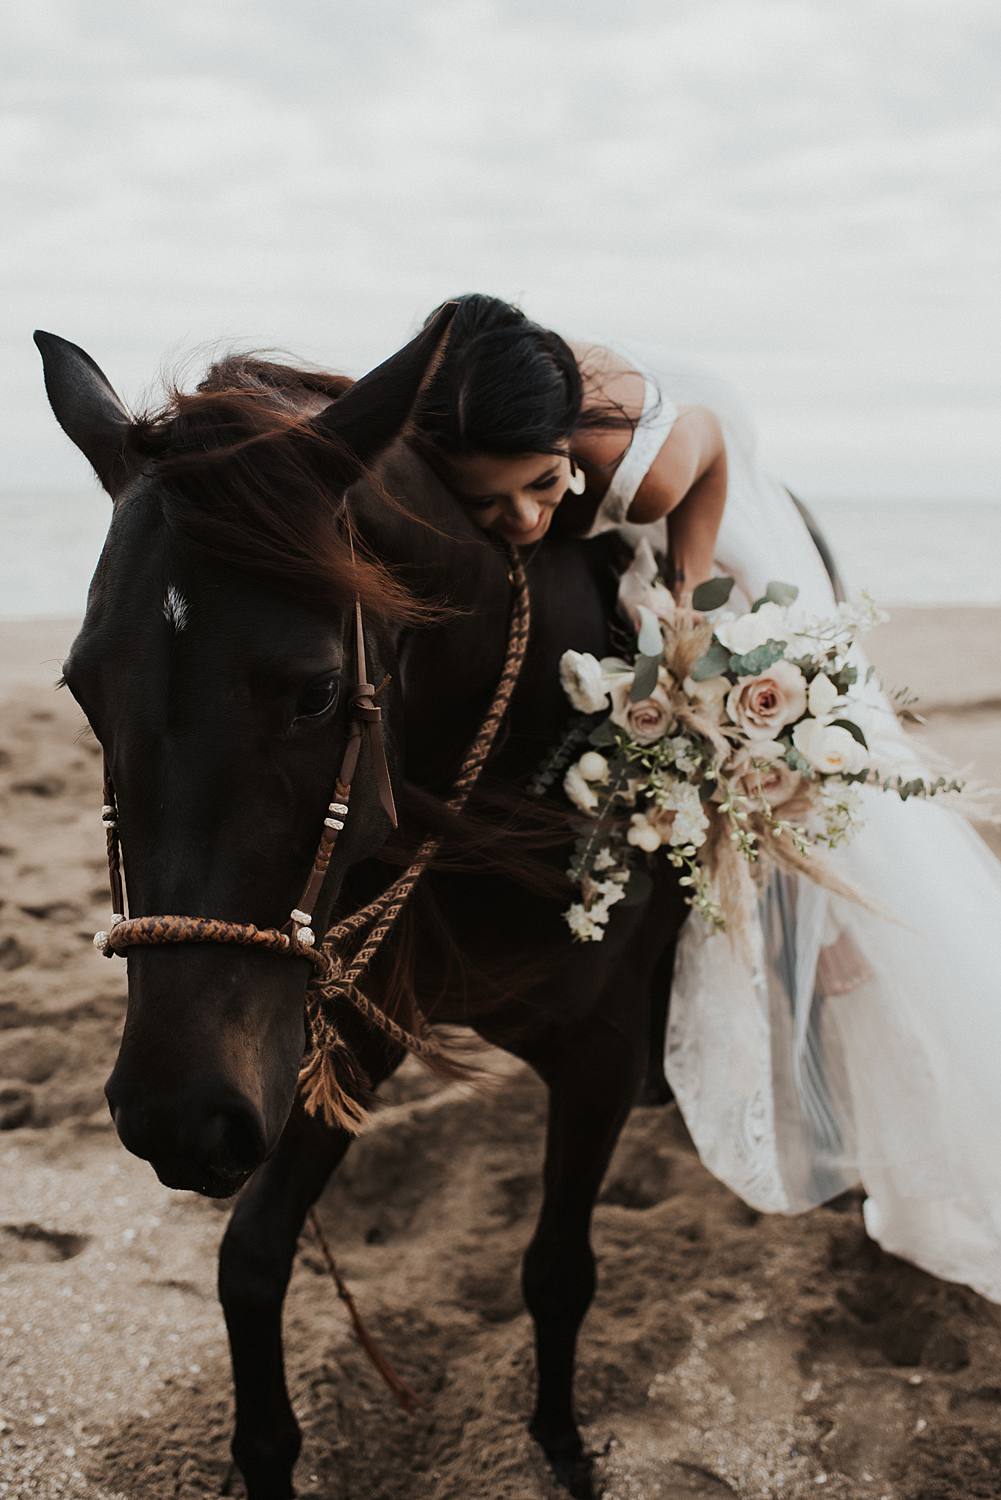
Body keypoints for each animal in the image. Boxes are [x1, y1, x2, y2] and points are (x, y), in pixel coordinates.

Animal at [33, 307, 690, 1500]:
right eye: (82, 689)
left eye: (317, 692)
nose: (173, 1114)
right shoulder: (326, 1028)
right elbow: (249, 1260)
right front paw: (264, 1453)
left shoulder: (597, 1057)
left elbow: (557, 1270)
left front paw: (563, 1446)